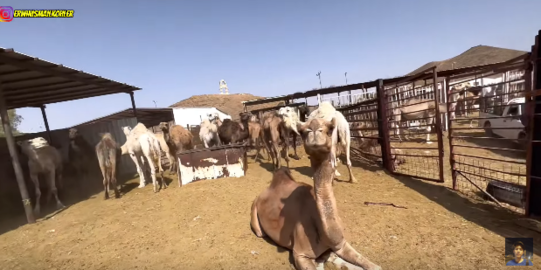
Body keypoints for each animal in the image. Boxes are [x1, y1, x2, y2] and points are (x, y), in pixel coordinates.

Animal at [251, 118, 382, 270]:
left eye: (331, 128)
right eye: (302, 131)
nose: (313, 129)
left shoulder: (340, 244)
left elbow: (371, 265)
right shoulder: (300, 254)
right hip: (255, 209)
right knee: (260, 232)